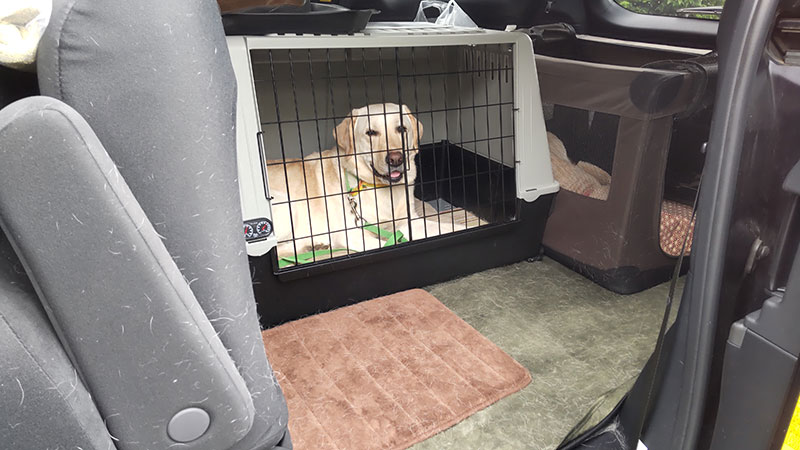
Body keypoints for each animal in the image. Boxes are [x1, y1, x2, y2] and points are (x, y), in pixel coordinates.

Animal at [266, 103, 464, 263]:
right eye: (370, 133)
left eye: (401, 129)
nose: (396, 158)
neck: (381, 189)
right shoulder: (353, 235)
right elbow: (386, 244)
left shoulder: (408, 221)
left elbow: (447, 228)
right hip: (287, 207)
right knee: (276, 250)